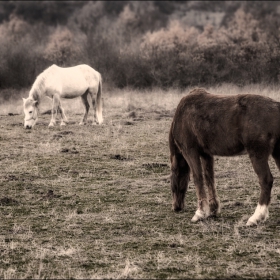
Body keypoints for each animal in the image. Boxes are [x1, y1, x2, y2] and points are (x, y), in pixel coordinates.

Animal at [168, 87, 280, 225]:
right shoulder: (206, 154)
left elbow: (198, 178)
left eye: (172, 178)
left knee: (265, 180)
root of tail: (277, 106)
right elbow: (209, 178)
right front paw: (213, 210)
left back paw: (256, 217)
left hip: (257, 154)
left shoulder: (190, 151)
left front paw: (200, 213)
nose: (176, 207)